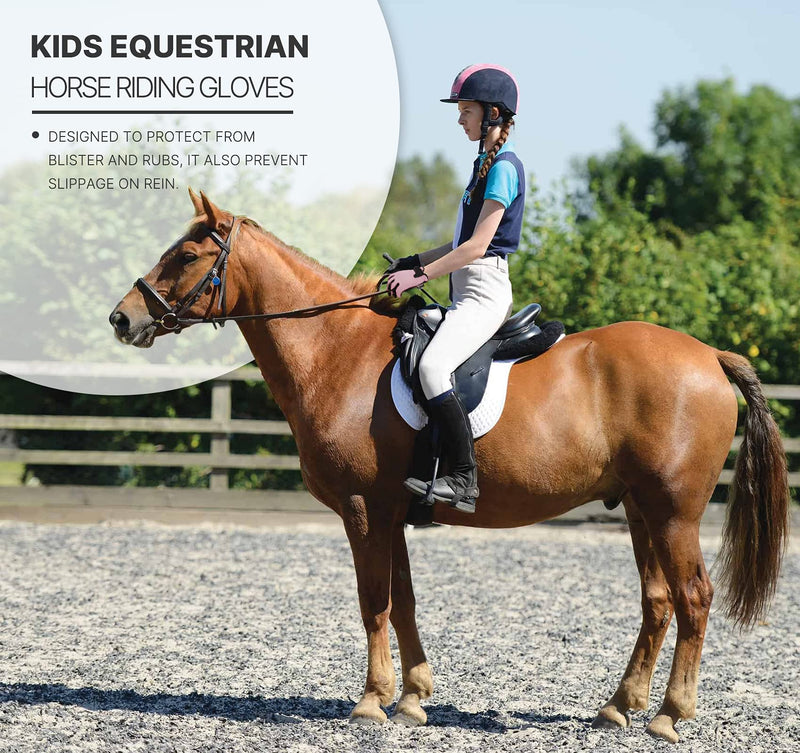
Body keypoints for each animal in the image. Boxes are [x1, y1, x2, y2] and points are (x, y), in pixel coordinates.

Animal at [109, 190, 790, 744]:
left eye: (186, 256)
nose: (122, 318)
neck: (336, 352)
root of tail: (709, 355)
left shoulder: (363, 510)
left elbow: (373, 602)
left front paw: (371, 703)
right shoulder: (392, 513)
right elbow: (404, 601)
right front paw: (412, 699)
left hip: (673, 512)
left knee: (694, 598)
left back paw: (670, 715)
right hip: (641, 510)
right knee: (658, 601)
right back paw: (619, 707)